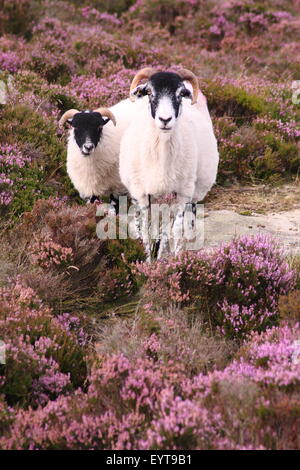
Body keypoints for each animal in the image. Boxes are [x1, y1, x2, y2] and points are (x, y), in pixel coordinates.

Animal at [118, 69, 219, 260]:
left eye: (180, 94)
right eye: (149, 92)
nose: (165, 119)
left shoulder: (182, 193)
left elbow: (176, 230)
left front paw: (177, 259)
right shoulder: (142, 193)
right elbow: (146, 231)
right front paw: (147, 260)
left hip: (193, 191)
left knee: (179, 223)